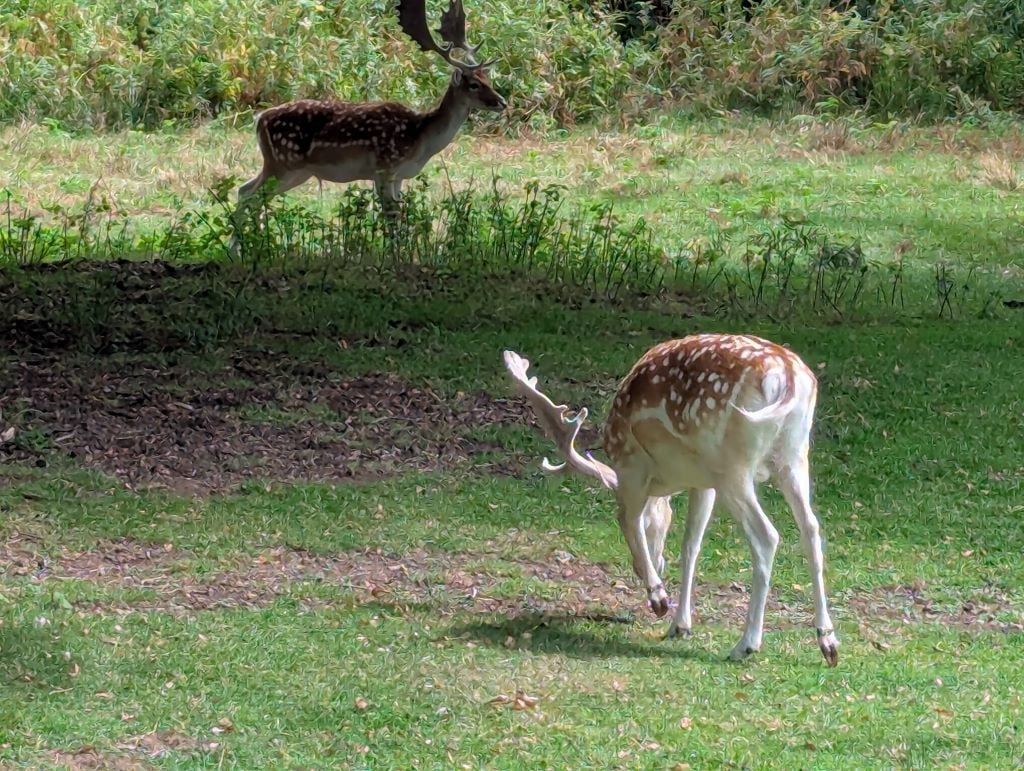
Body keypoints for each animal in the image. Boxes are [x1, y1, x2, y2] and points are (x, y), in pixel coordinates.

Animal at [229, 0, 506, 251]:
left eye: (488, 78)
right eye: (474, 84)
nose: (502, 102)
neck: (419, 140)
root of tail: (259, 119)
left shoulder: (399, 175)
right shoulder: (385, 166)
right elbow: (392, 217)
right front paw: (395, 256)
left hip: (292, 170)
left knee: (245, 191)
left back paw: (244, 248)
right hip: (282, 163)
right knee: (250, 195)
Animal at [504, 334, 840, 666]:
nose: (639, 570)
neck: (665, 483)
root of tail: (788, 377)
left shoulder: (633, 467)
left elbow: (629, 520)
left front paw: (659, 598)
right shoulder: (702, 483)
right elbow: (691, 545)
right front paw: (680, 625)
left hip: (733, 464)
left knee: (766, 535)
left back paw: (746, 644)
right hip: (793, 456)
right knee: (811, 528)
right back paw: (828, 641)